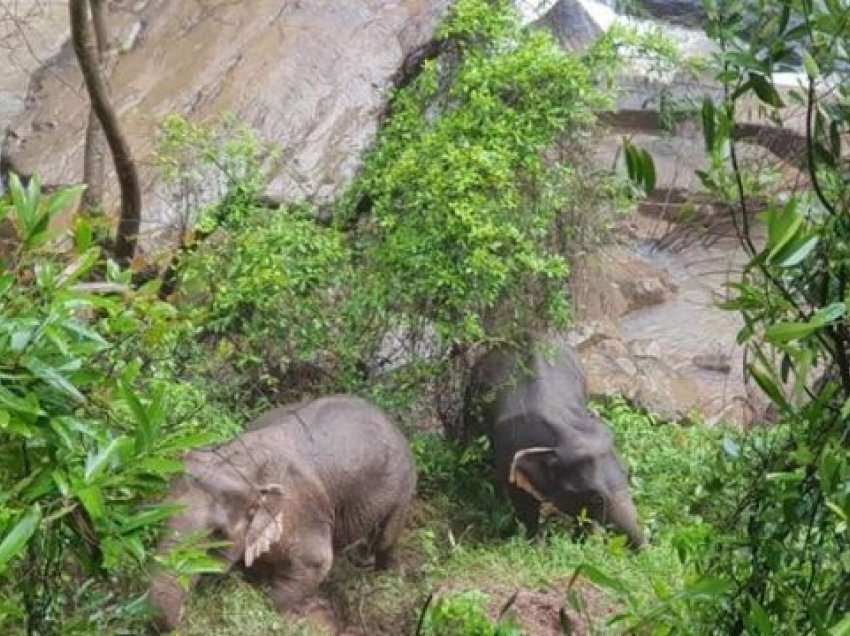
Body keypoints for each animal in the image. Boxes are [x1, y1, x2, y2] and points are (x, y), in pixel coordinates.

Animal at [147, 392, 418, 632]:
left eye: (217, 533)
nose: (185, 617)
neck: (241, 463)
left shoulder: (301, 512)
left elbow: (317, 563)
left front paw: (275, 612)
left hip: (403, 485)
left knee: (385, 539)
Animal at [464, 336, 644, 548]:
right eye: (596, 498)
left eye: (628, 474)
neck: (564, 431)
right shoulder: (509, 453)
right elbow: (524, 506)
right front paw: (536, 546)